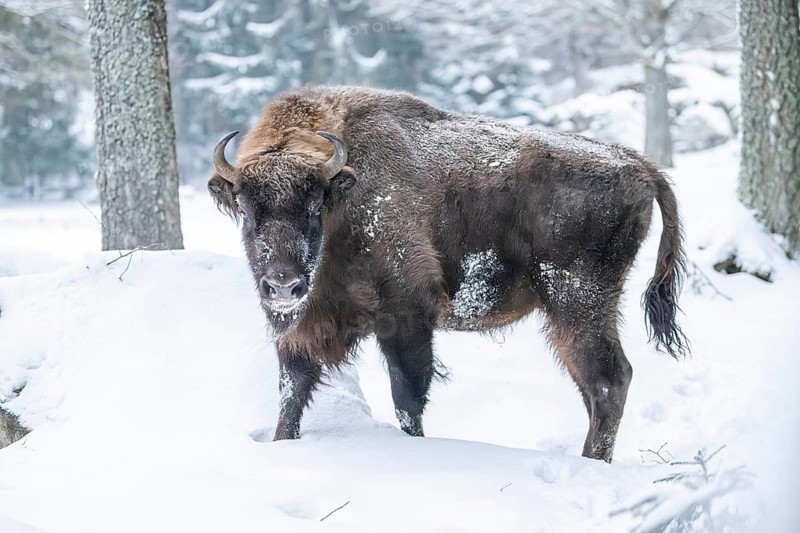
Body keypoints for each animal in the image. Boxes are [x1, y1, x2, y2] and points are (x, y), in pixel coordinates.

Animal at [208, 86, 687, 462]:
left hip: (578, 302)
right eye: (247, 212)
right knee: (593, 387)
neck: (344, 193)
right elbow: (291, 395)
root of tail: (639, 165)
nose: (283, 286)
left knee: (609, 381)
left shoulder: (406, 315)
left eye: (312, 208)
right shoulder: (304, 331)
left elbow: (407, 397)